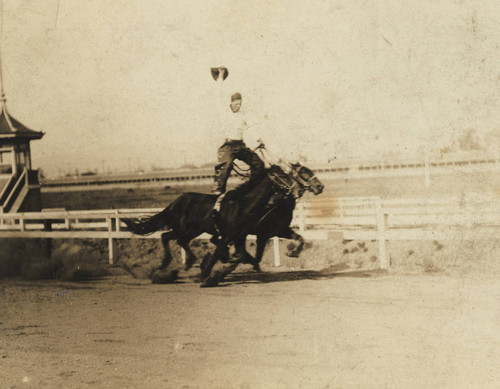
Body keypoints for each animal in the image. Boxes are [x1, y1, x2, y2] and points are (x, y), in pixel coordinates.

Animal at [123, 161, 322, 284]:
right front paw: (208, 274)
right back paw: (179, 264)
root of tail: (174, 203)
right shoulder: (251, 234)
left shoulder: (263, 232)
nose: (320, 186)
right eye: (301, 174)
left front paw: (292, 251)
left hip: (191, 229)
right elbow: (233, 254)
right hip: (185, 228)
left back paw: (175, 264)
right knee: (174, 238)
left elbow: (298, 239)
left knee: (169, 236)